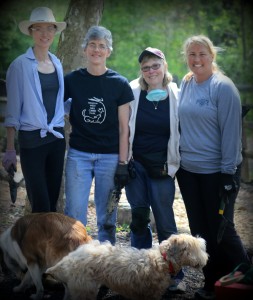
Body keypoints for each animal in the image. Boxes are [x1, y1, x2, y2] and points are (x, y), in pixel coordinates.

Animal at [45, 232, 208, 300]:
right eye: (199, 248)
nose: (206, 258)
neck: (163, 260)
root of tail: (68, 260)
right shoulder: (151, 295)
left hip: (74, 290)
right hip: (84, 291)